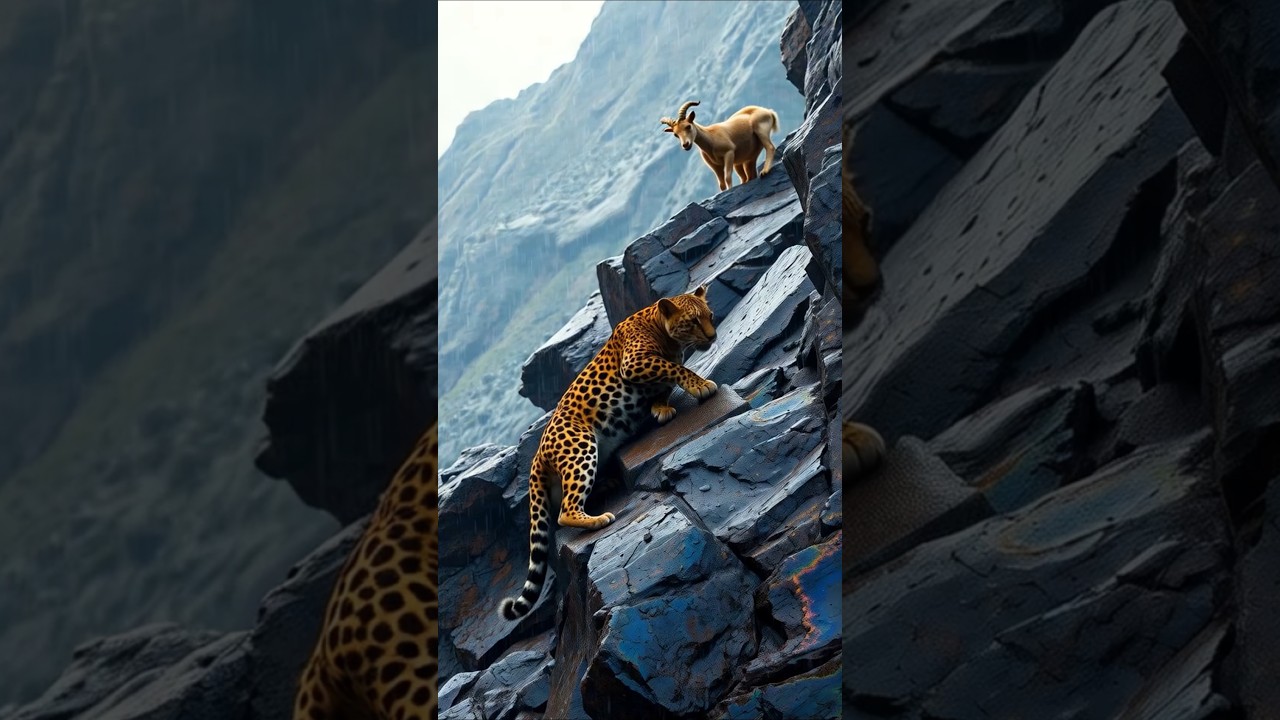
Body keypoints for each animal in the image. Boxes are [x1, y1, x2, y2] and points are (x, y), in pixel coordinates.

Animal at [499, 285, 719, 621]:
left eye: (710, 315)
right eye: (694, 321)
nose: (712, 335)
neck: (660, 329)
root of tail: (537, 456)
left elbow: (666, 381)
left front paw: (661, 407)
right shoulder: (635, 362)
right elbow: (674, 367)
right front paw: (699, 385)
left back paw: (608, 485)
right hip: (581, 447)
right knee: (564, 511)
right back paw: (599, 519)